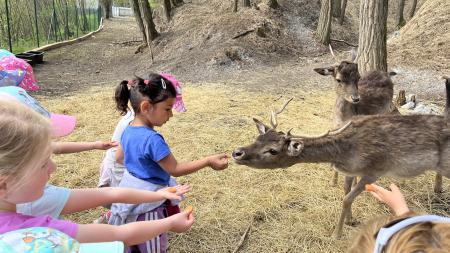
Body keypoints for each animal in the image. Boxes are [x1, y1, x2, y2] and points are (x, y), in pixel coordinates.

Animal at [234, 80, 450, 237]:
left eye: (273, 151)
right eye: (257, 138)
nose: (237, 152)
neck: (345, 154)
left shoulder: (374, 171)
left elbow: (347, 199)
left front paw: (336, 234)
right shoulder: (352, 171)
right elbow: (346, 191)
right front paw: (349, 220)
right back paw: (437, 189)